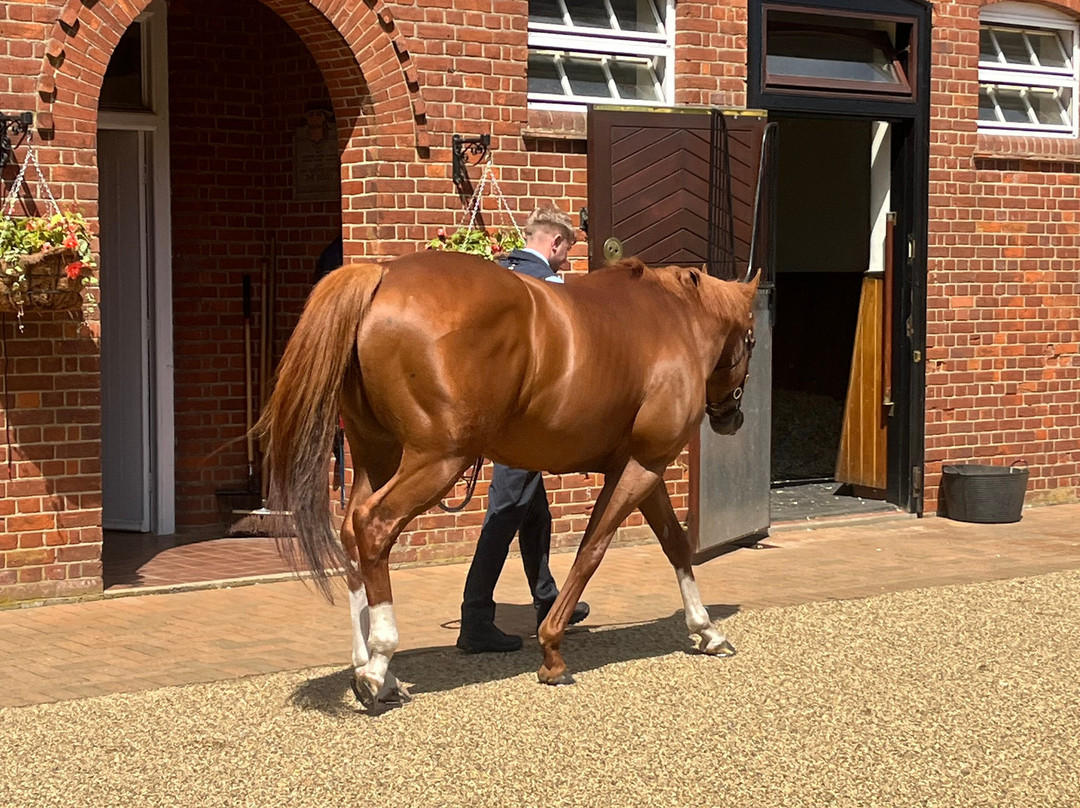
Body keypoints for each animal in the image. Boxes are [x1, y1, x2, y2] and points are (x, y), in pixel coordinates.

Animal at [257, 251, 759, 709]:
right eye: (752, 341)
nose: (733, 418)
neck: (673, 321)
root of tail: (382, 274)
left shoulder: (641, 467)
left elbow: (674, 544)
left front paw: (707, 630)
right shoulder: (642, 465)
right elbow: (592, 550)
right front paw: (552, 652)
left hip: (376, 453)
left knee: (350, 533)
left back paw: (369, 667)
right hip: (439, 460)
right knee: (373, 526)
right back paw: (379, 667)